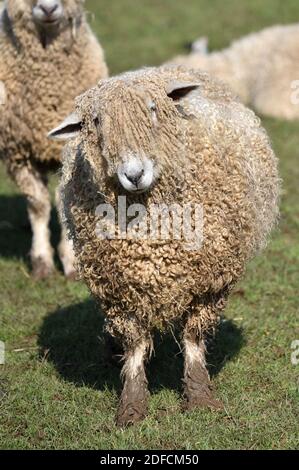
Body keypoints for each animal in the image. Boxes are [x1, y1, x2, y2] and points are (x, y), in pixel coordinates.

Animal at [0, 0, 108, 280]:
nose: (48, 9)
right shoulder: (19, 155)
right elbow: (38, 205)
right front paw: (41, 262)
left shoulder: (67, 151)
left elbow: (64, 204)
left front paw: (70, 262)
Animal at [49, 65, 282, 426]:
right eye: (97, 122)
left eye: (153, 109)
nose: (134, 174)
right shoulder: (118, 287)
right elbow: (134, 343)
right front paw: (131, 406)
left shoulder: (209, 283)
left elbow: (193, 338)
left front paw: (199, 397)